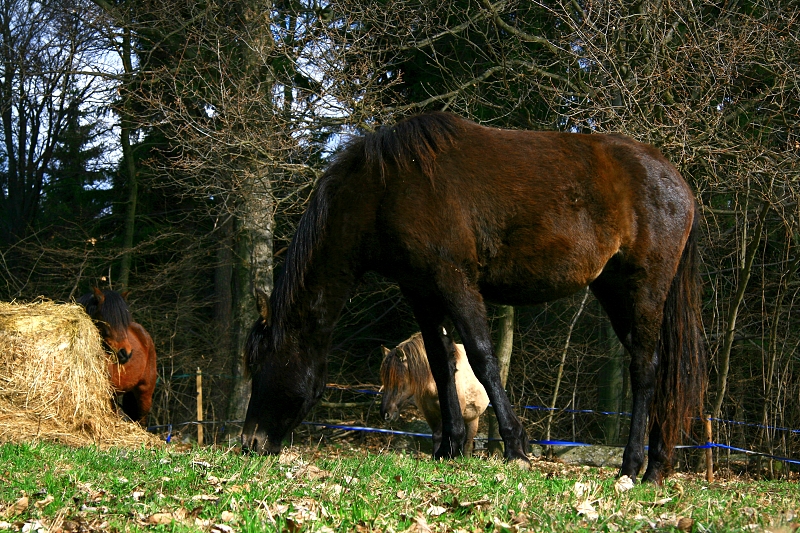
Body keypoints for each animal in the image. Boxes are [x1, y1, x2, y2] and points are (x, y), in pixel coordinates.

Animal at [241, 111, 704, 482]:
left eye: (262, 365)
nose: (250, 443)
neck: (385, 189)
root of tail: (678, 182)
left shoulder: (454, 279)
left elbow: (482, 358)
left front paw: (516, 447)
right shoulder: (420, 289)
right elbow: (441, 362)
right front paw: (448, 448)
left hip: (645, 288)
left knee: (645, 368)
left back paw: (635, 467)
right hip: (613, 289)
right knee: (658, 369)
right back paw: (656, 465)